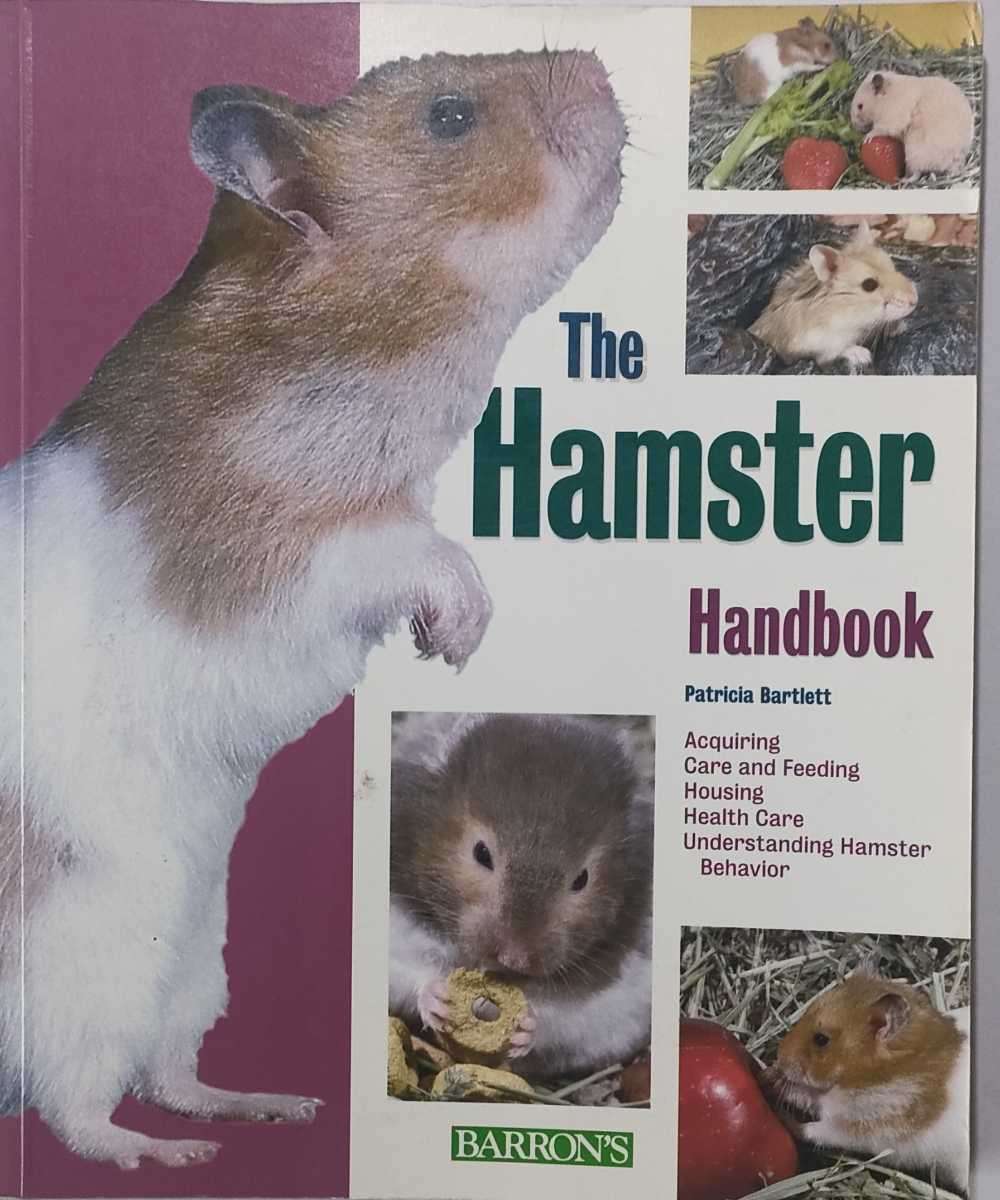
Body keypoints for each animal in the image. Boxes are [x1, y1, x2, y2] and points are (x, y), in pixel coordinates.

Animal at [0, 50, 625, 1168]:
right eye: (449, 117)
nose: (603, 67)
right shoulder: (276, 552)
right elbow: (408, 548)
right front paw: (456, 640)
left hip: (194, 962)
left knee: (168, 1070)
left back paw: (271, 1107)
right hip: (85, 965)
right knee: (78, 1105)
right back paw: (168, 1154)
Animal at [388, 713, 653, 1079]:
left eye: (582, 879)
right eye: (481, 853)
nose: (513, 959)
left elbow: (560, 1015)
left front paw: (524, 1028)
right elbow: (411, 968)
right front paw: (440, 999)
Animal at [749, 220, 918, 371]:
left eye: (892, 266)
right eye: (869, 285)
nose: (914, 301)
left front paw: (901, 327)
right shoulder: (817, 343)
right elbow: (834, 352)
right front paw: (863, 356)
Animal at [767, 975, 969, 1193]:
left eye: (821, 1039)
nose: (779, 1056)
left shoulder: (862, 1127)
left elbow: (812, 1130)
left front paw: (782, 1115)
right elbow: (807, 1096)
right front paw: (769, 1076)